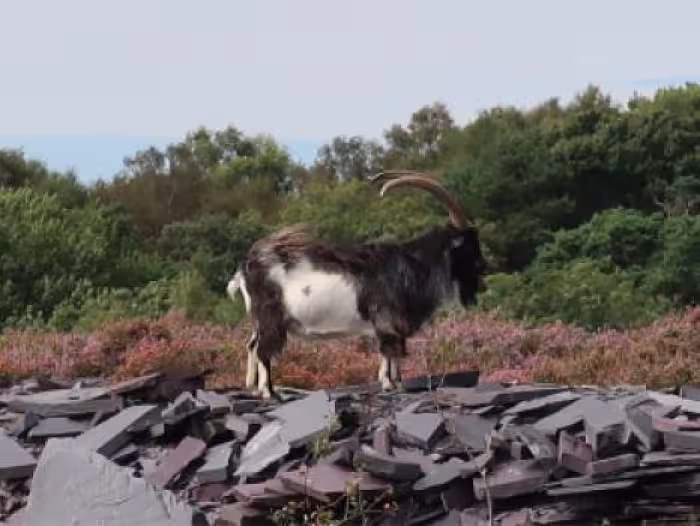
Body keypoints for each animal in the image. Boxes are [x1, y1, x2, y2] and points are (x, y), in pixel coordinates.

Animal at [226, 170, 487, 400]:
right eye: (467, 243)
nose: (483, 265)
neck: (412, 264)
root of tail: (246, 266)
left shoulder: (392, 323)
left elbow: (394, 352)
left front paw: (396, 383)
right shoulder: (386, 318)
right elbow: (389, 349)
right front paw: (390, 384)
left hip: (260, 319)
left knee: (252, 345)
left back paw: (254, 388)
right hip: (270, 316)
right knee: (263, 350)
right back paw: (269, 393)